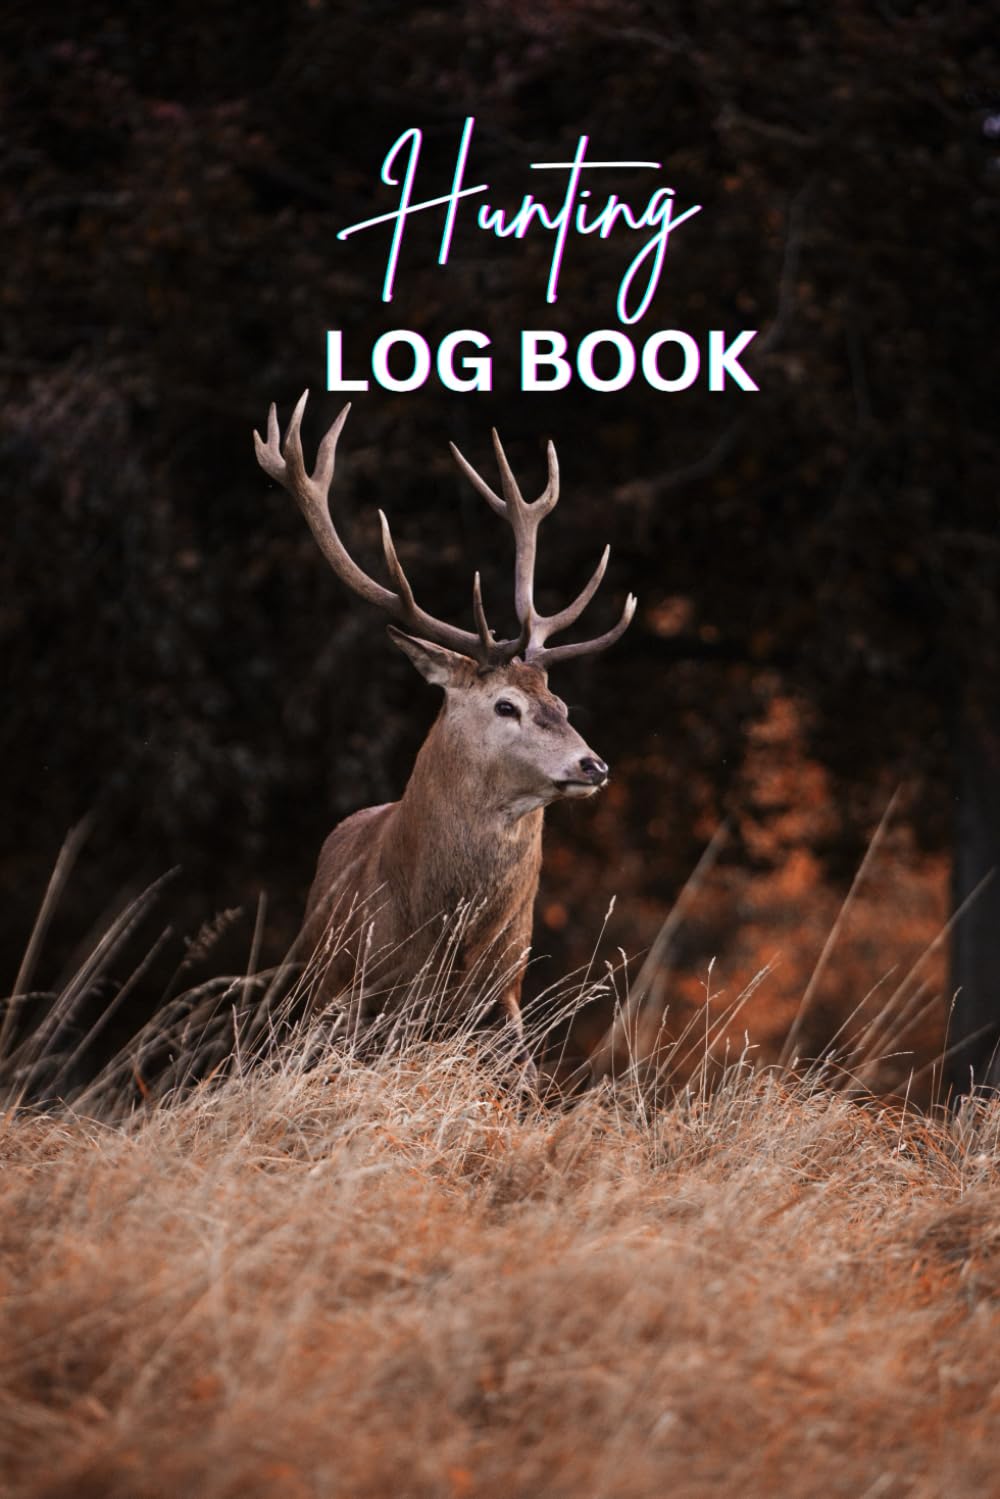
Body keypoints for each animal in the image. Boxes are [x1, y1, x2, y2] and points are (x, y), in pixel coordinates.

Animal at [253, 392, 635, 1077]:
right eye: (506, 705)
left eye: (561, 702)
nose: (593, 765)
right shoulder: (356, 992)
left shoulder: (504, 996)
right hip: (311, 982)